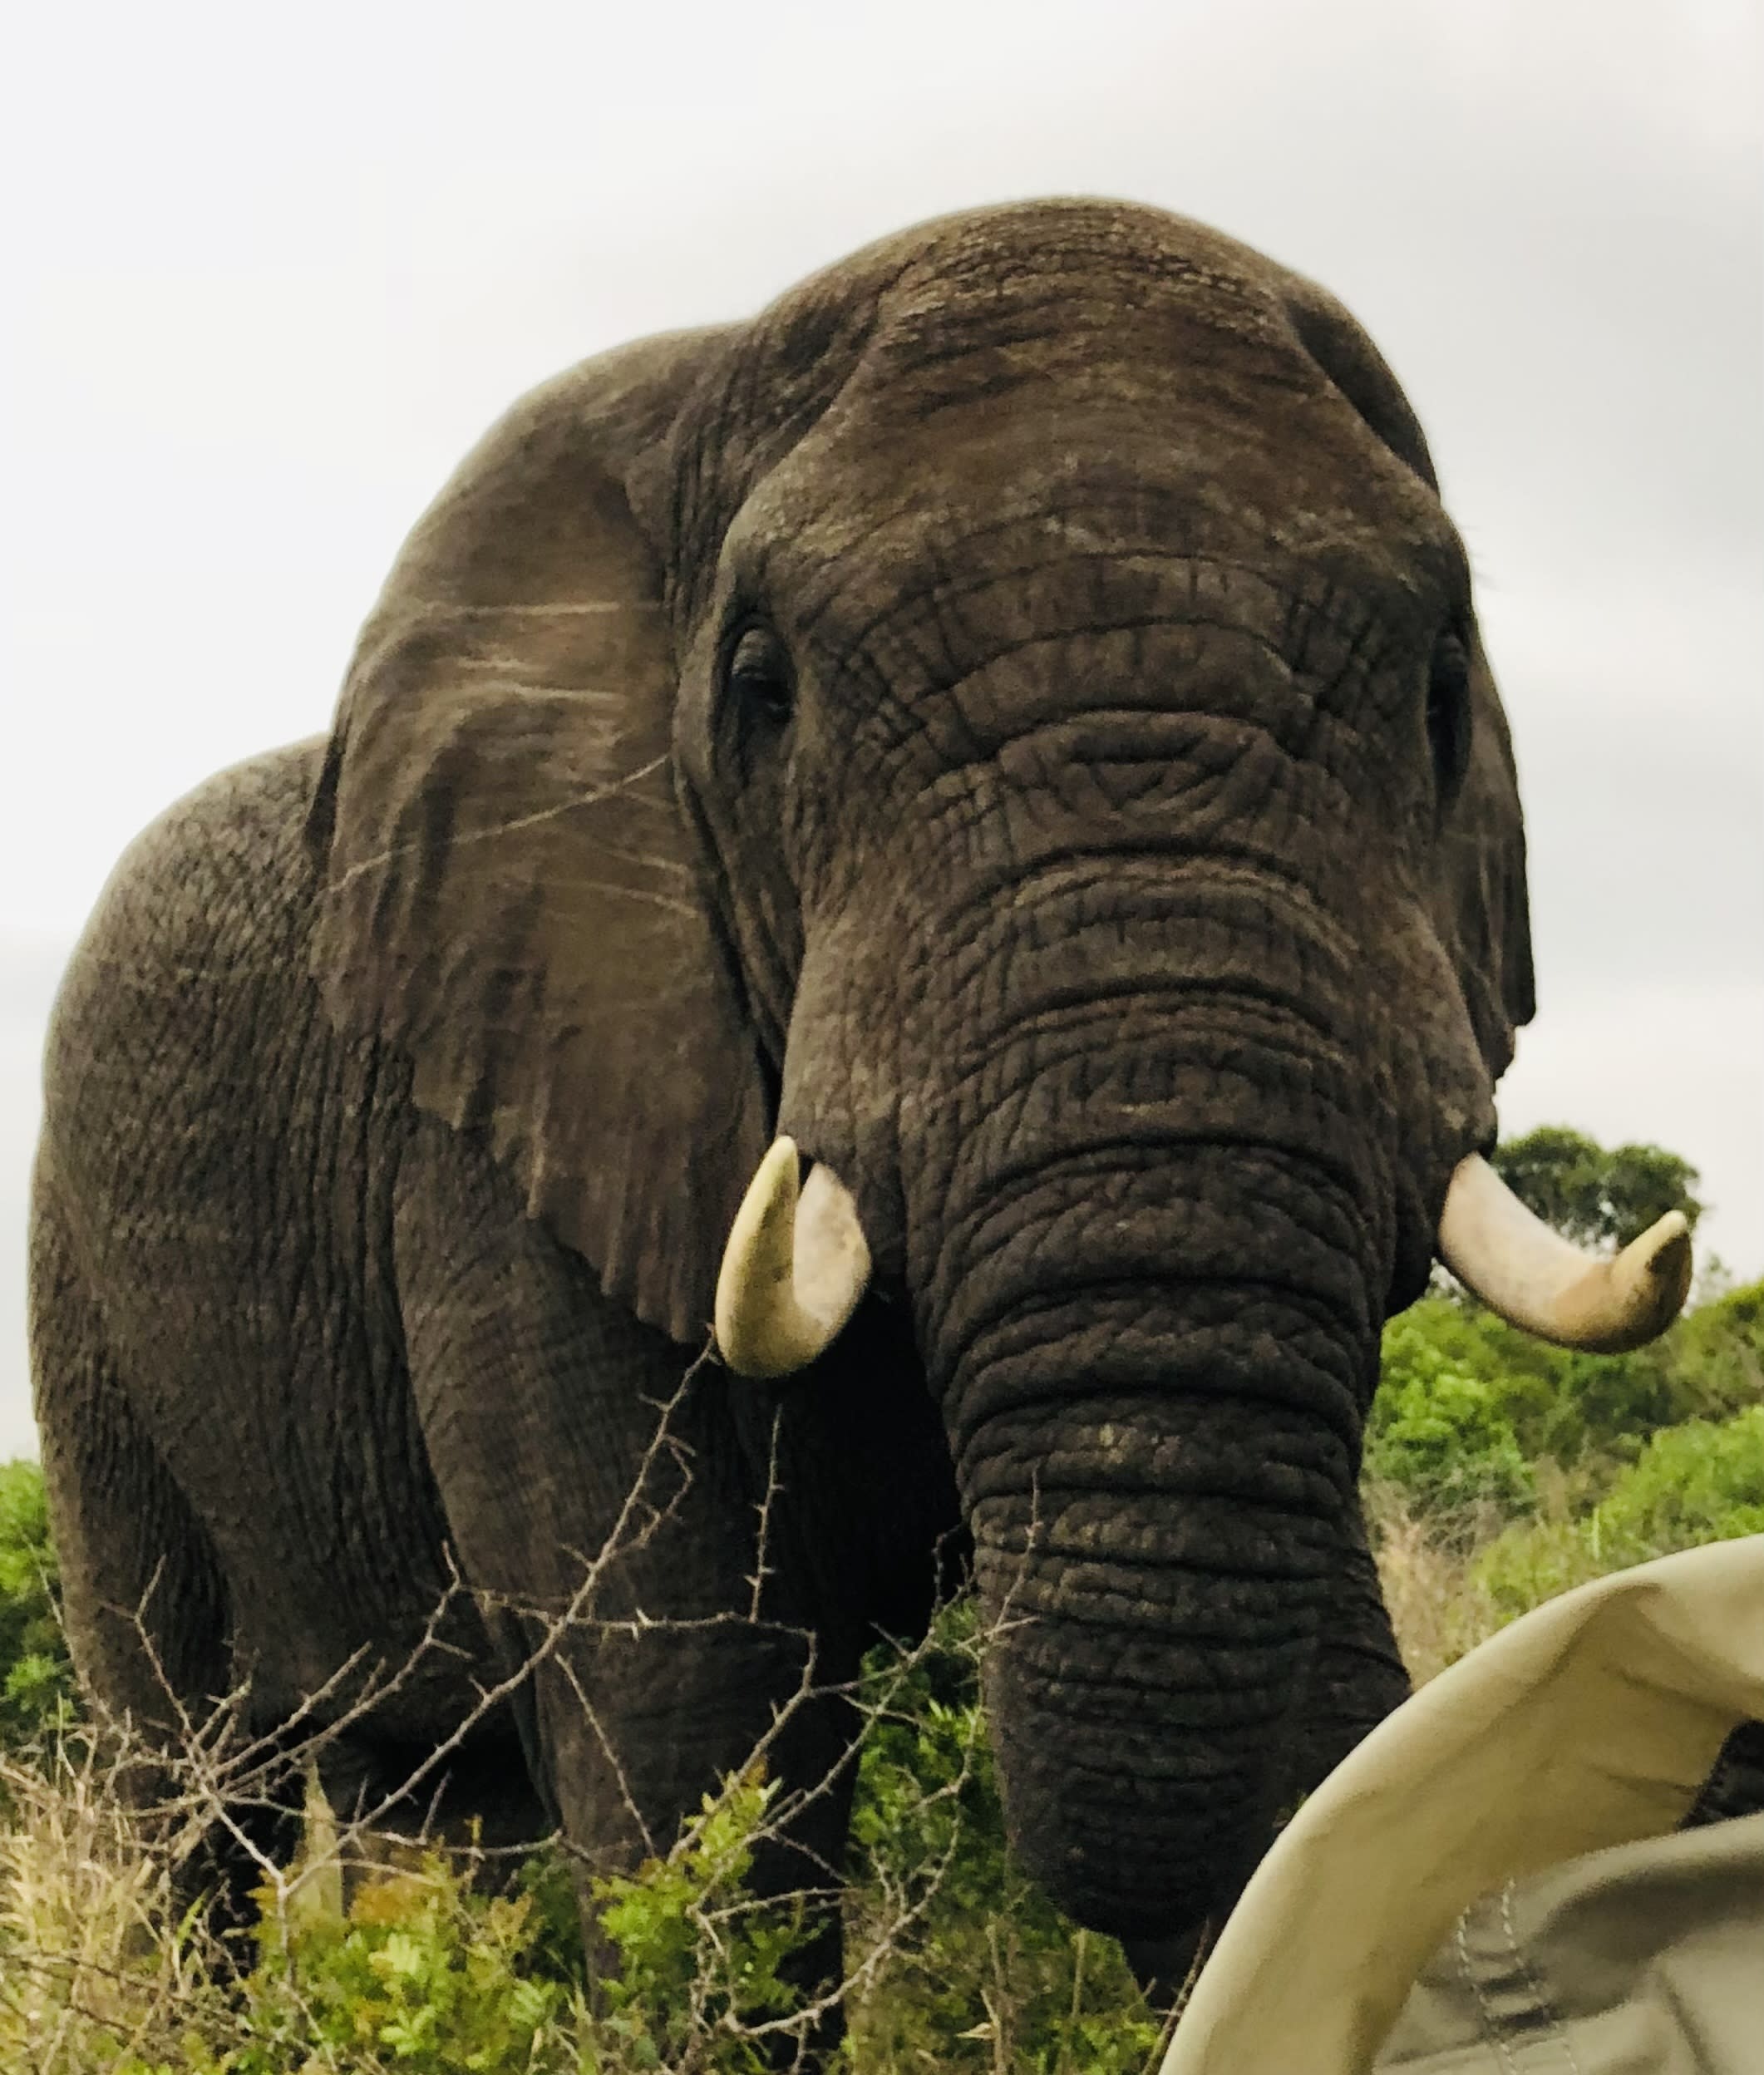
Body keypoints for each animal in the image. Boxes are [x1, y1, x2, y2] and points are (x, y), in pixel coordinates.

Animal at [29, 199, 1692, 2015]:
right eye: (763, 690)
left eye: (1438, 693)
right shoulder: (502, 1123)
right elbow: (697, 1727)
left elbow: (1316, 1675)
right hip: (85, 1321)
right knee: (199, 1788)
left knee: (450, 1796)